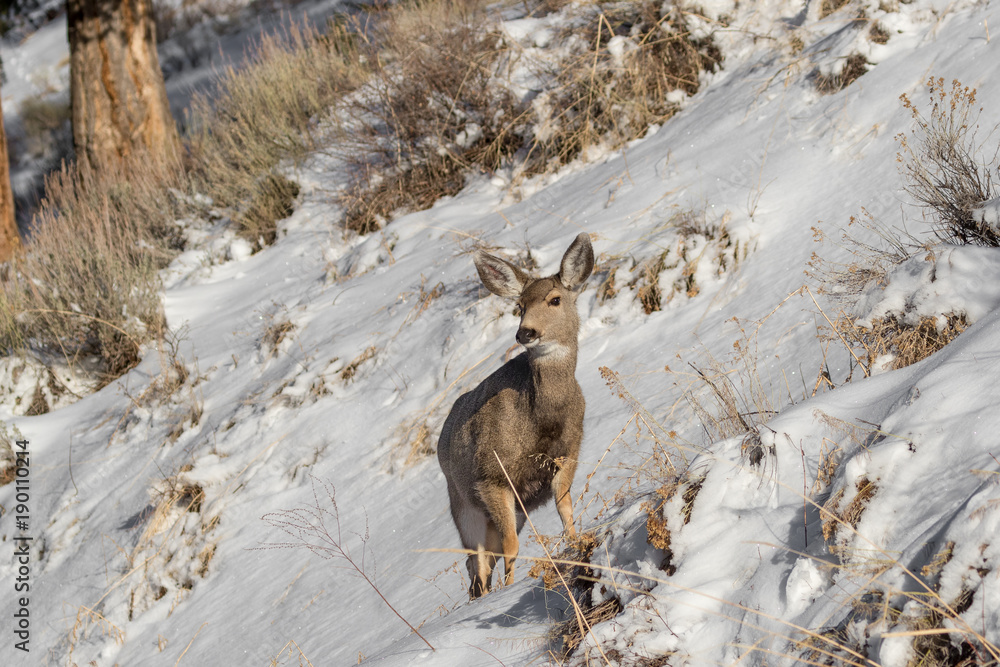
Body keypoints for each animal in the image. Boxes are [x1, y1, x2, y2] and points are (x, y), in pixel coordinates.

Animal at [438, 233, 594, 598]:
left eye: (555, 299)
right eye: (519, 306)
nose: (526, 333)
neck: (542, 422)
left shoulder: (567, 456)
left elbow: (566, 511)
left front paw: (575, 544)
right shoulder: (492, 476)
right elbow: (512, 547)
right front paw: (510, 588)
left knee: (482, 562)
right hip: (463, 504)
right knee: (477, 561)